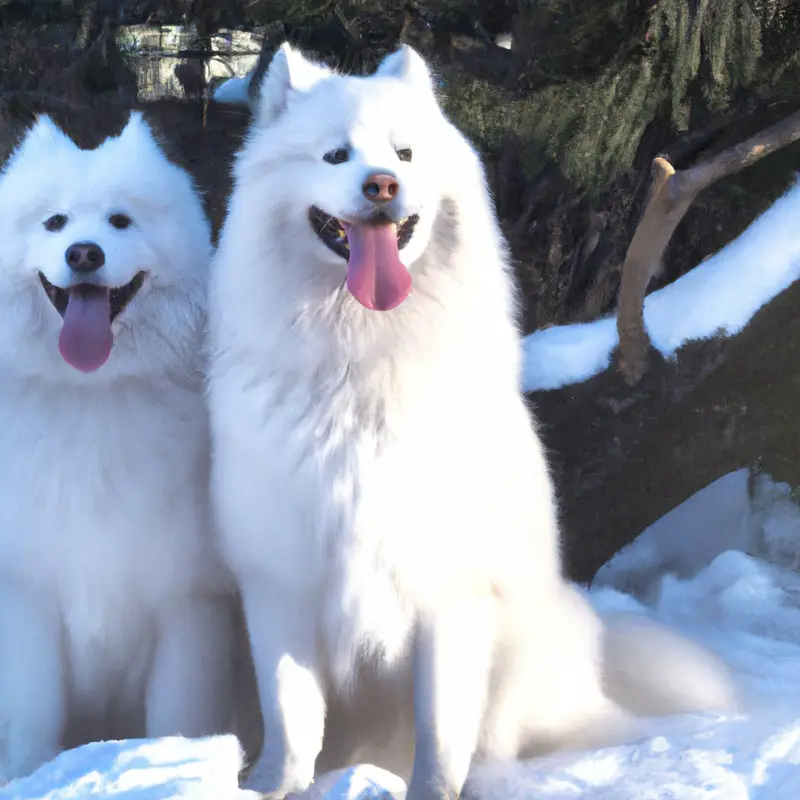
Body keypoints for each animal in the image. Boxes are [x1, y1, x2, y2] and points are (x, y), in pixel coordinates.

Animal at [0, 112, 238, 780]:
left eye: (120, 221)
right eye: (54, 222)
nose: (84, 252)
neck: (93, 394)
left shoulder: (190, 603)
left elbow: (177, 716)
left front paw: (170, 765)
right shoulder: (27, 593)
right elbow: (32, 715)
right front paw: (26, 776)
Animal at [209, 45, 740, 800]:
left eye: (403, 153)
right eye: (336, 154)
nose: (381, 185)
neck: (361, 364)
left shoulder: (450, 591)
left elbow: (441, 727)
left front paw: (433, 789)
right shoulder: (280, 582)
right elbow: (290, 715)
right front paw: (271, 786)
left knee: (515, 734)